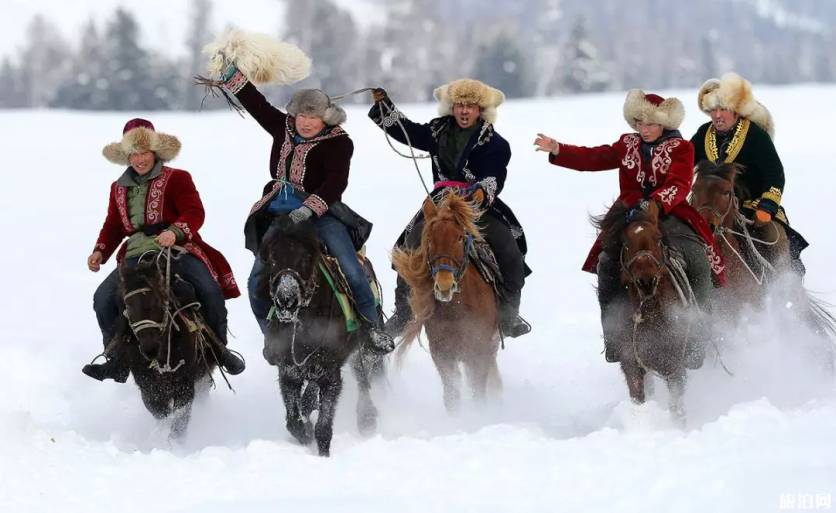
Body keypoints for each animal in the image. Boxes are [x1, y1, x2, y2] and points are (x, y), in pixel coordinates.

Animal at [112, 250, 220, 442]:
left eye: (157, 299)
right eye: (127, 304)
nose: (150, 348)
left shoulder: (184, 384)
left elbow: (180, 419)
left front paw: (175, 445)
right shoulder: (148, 388)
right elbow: (162, 414)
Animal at [256, 212, 386, 456]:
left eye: (305, 258)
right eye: (273, 259)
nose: (286, 301)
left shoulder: (331, 374)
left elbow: (324, 428)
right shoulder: (288, 371)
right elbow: (294, 421)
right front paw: (304, 432)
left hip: (360, 348)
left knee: (362, 376)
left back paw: (367, 418)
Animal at [390, 190, 500, 414]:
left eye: (459, 237)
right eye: (430, 239)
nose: (444, 285)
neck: (457, 310)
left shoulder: (480, 349)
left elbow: (478, 392)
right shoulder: (442, 353)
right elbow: (451, 396)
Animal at [596, 200, 700, 420]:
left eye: (658, 239)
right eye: (626, 243)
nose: (646, 281)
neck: (651, 315)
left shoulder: (674, 364)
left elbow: (677, 407)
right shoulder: (631, 362)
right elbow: (638, 396)